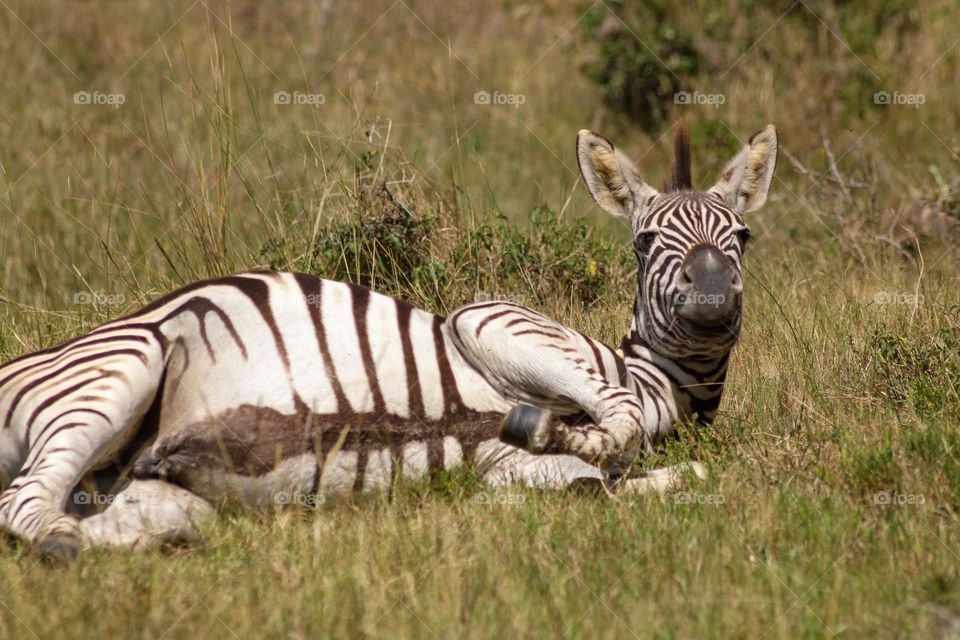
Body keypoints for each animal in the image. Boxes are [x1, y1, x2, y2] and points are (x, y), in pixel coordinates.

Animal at [0, 122, 777, 561]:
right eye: (646, 242)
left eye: (740, 238)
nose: (714, 297)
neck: (660, 381)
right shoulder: (489, 319)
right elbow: (616, 420)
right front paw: (558, 426)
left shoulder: (506, 470)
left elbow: (667, 477)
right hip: (121, 366)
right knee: (24, 503)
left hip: (152, 487)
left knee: (95, 516)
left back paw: (157, 542)